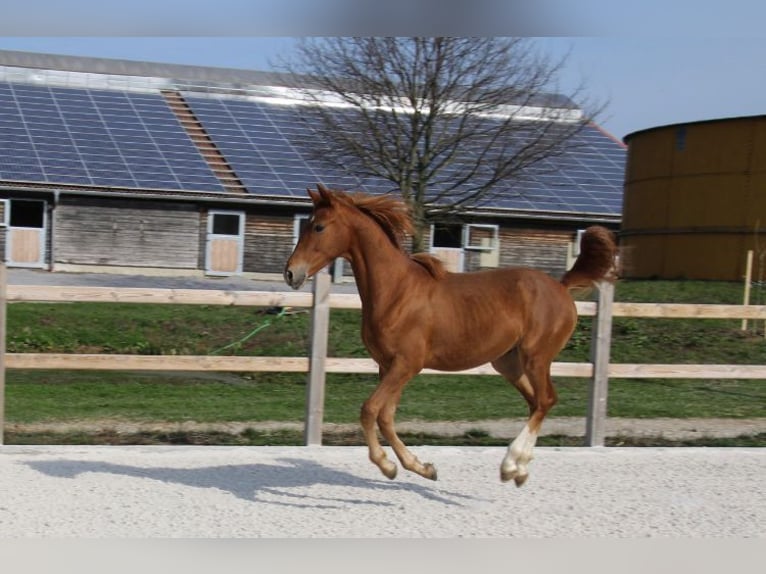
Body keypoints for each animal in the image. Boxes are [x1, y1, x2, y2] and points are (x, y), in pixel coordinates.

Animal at [284, 183, 616, 486]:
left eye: (318, 226)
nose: (290, 273)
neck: (396, 291)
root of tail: (561, 286)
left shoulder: (407, 364)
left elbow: (370, 410)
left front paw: (387, 466)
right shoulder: (388, 366)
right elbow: (386, 417)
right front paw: (422, 468)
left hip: (537, 357)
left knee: (546, 399)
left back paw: (511, 463)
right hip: (508, 363)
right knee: (537, 403)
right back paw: (519, 470)